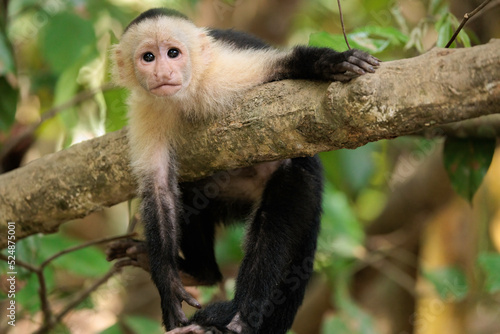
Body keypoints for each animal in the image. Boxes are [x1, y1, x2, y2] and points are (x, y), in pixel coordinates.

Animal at [106, 7, 378, 334]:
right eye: (148, 57)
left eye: (173, 53)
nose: (162, 73)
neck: (185, 96)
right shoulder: (146, 111)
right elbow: (159, 190)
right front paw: (168, 283)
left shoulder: (221, 72)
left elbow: (280, 66)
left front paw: (331, 63)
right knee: (190, 191)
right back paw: (200, 272)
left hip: (301, 183)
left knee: (276, 217)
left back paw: (241, 319)